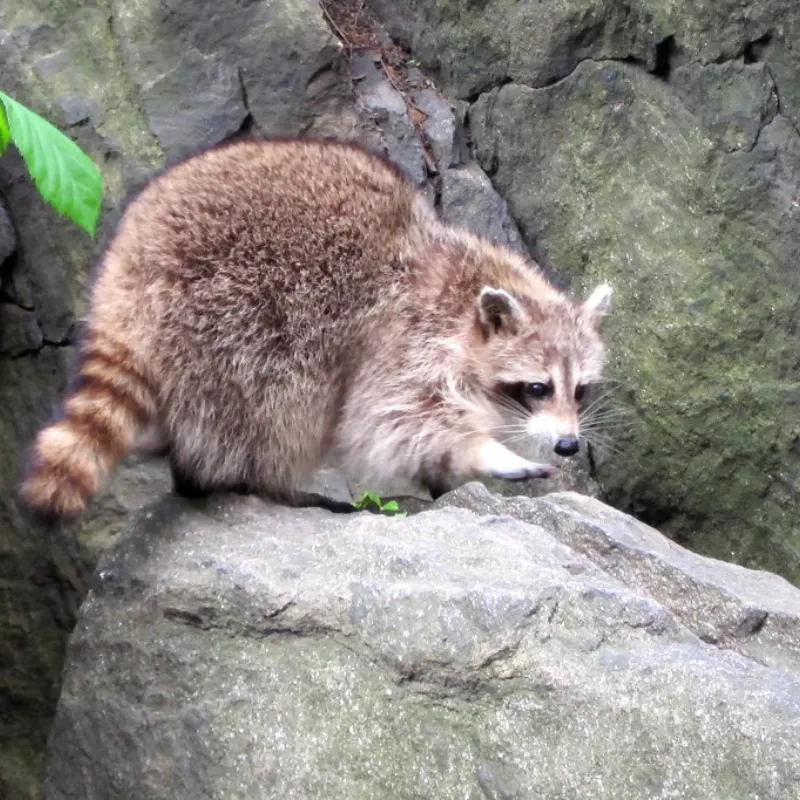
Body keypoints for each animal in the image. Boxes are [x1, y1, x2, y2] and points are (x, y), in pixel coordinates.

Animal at [18, 139, 612, 520]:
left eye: (580, 390)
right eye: (537, 387)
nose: (568, 445)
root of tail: (127, 263)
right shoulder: (400, 335)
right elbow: (390, 422)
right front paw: (482, 451)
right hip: (229, 310)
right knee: (272, 404)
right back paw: (245, 481)